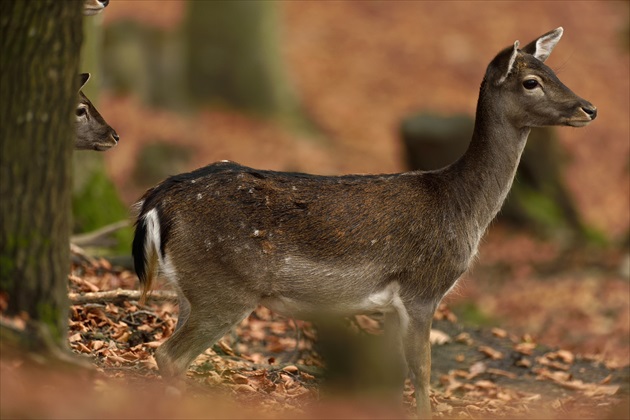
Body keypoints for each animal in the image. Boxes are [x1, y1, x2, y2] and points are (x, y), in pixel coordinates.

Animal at [132, 27, 596, 418]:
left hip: (191, 289)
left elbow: (393, 376)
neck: (463, 209)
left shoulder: (389, 304)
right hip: (225, 288)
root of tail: (157, 202)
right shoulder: (422, 288)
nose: (589, 108)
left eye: (554, 70)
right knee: (170, 355)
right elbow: (423, 373)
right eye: (531, 81)